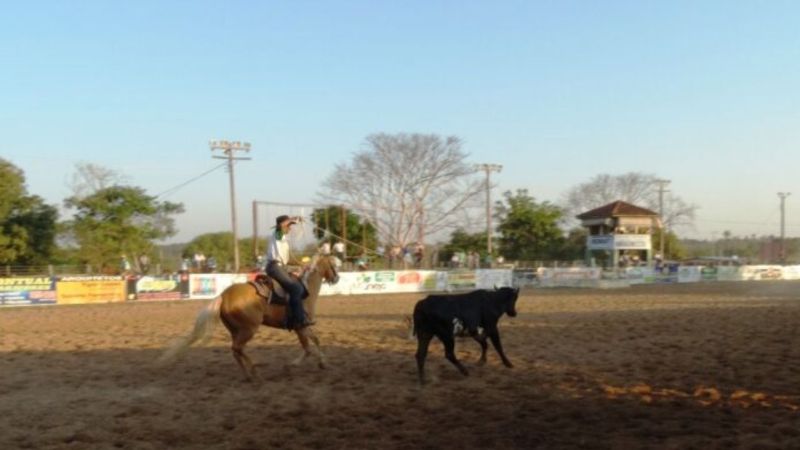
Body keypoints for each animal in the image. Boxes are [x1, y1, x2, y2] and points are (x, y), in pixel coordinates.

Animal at [161, 255, 340, 382]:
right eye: (333, 264)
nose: (337, 278)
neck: (305, 290)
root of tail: (223, 295)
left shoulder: (300, 326)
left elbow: (313, 342)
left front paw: (321, 363)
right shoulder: (300, 325)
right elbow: (309, 345)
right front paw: (293, 365)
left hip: (235, 330)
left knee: (235, 350)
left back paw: (248, 374)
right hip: (249, 329)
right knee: (238, 348)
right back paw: (255, 372)